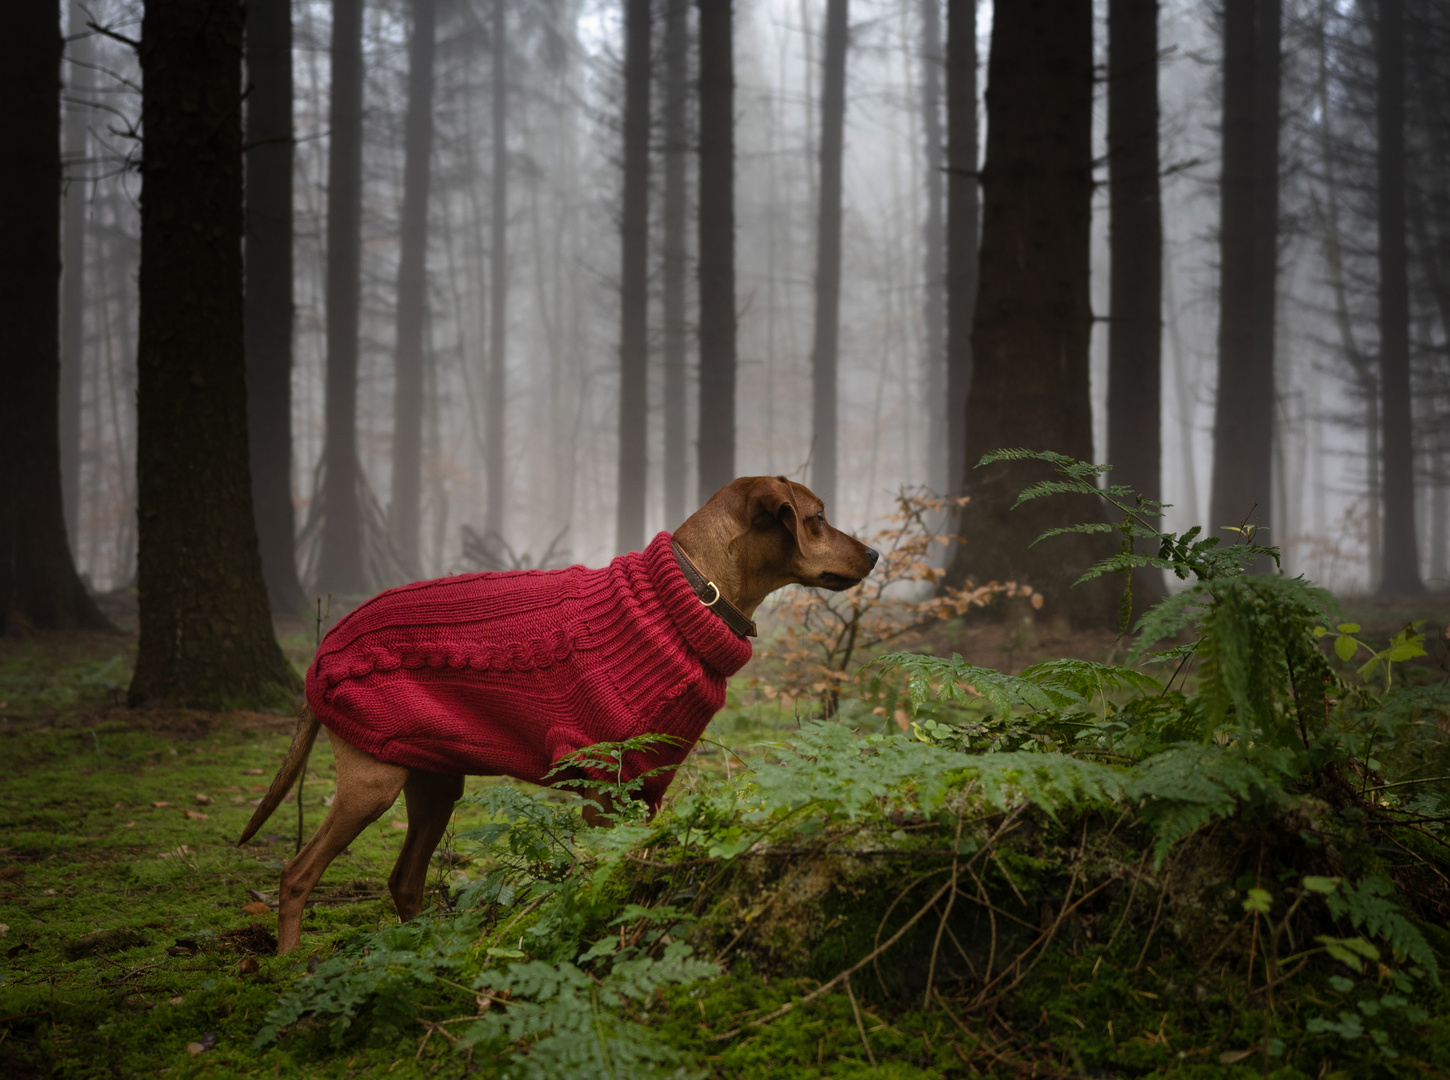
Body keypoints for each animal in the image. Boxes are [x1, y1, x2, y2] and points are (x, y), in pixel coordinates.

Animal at [240, 472, 870, 950]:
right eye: (817, 517)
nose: (875, 553)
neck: (691, 596)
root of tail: (325, 650)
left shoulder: (645, 790)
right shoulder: (602, 787)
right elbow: (599, 869)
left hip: (436, 783)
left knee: (405, 882)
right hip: (371, 783)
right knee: (297, 874)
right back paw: (290, 965)